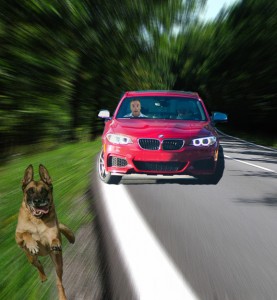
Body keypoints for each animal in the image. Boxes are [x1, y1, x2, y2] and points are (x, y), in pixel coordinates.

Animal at [15, 164, 74, 300]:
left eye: (43, 191)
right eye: (30, 191)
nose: (37, 201)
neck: (37, 220)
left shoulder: (53, 234)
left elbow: (55, 237)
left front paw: (56, 243)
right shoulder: (18, 237)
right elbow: (26, 233)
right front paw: (32, 244)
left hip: (58, 264)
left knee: (59, 281)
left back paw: (62, 295)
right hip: (31, 258)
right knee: (39, 264)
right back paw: (42, 276)